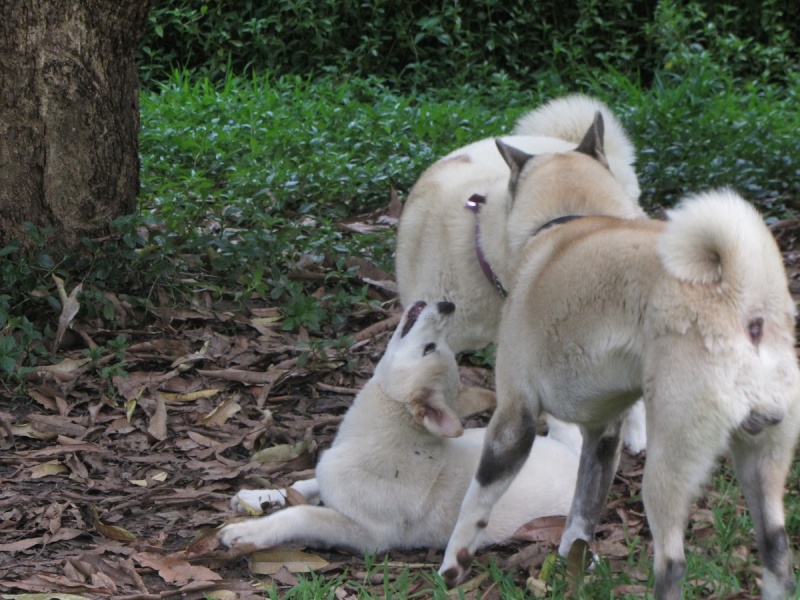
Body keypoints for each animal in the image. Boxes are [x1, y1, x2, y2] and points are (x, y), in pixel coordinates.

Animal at [219, 302, 580, 556]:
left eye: (429, 348)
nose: (447, 304)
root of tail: (576, 460)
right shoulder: (330, 474)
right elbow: (303, 483)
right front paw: (257, 497)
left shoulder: (367, 537)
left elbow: (303, 514)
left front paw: (250, 531)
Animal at [438, 183, 800, 600]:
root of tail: (748, 309)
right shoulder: (603, 436)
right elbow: (582, 511)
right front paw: (571, 563)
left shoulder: (514, 419)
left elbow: (475, 502)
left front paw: (452, 565)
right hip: (762, 459)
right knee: (776, 549)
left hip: (668, 469)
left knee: (672, 564)